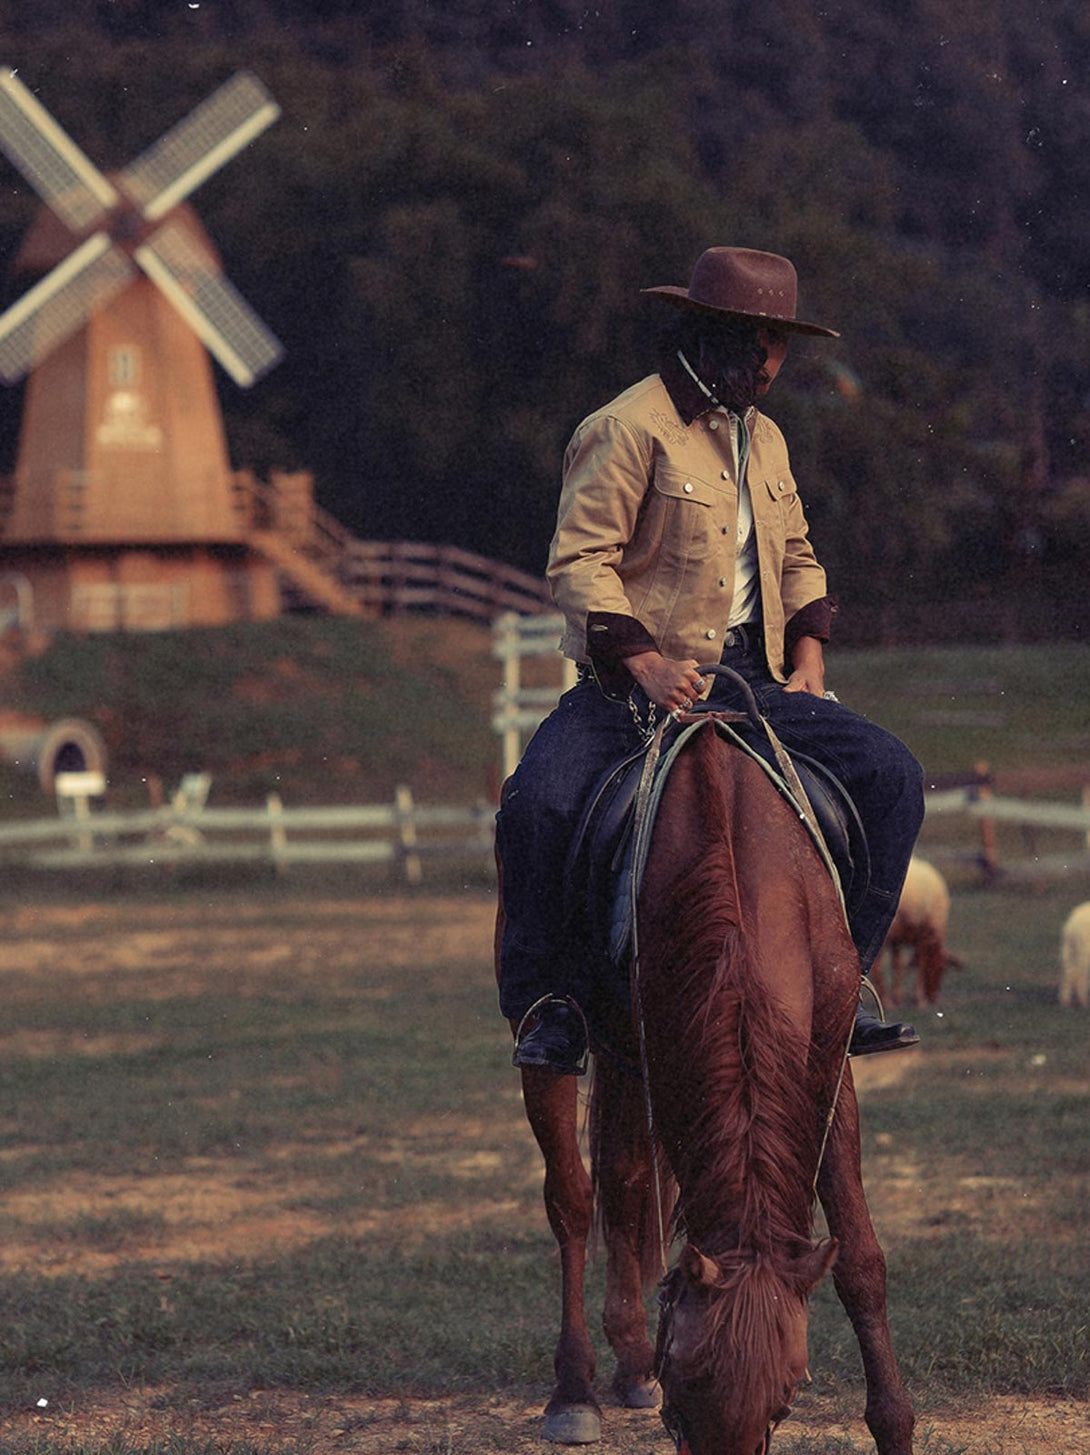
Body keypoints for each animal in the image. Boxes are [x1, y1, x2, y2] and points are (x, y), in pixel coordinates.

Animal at [500, 710, 908, 1449]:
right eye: (683, 1402)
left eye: (782, 1403)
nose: (658, 1376)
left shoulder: (827, 1066)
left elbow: (861, 1258)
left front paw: (895, 1423)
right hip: (552, 1035)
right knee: (572, 1199)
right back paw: (574, 1389)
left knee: (625, 1179)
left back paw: (630, 1359)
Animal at [873, 855, 954, 1006]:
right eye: (941, 969)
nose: (933, 997)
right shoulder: (924, 934)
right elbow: (921, 965)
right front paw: (920, 998)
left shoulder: (897, 939)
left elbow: (897, 965)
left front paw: (899, 996)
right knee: (877, 968)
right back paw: (886, 1000)